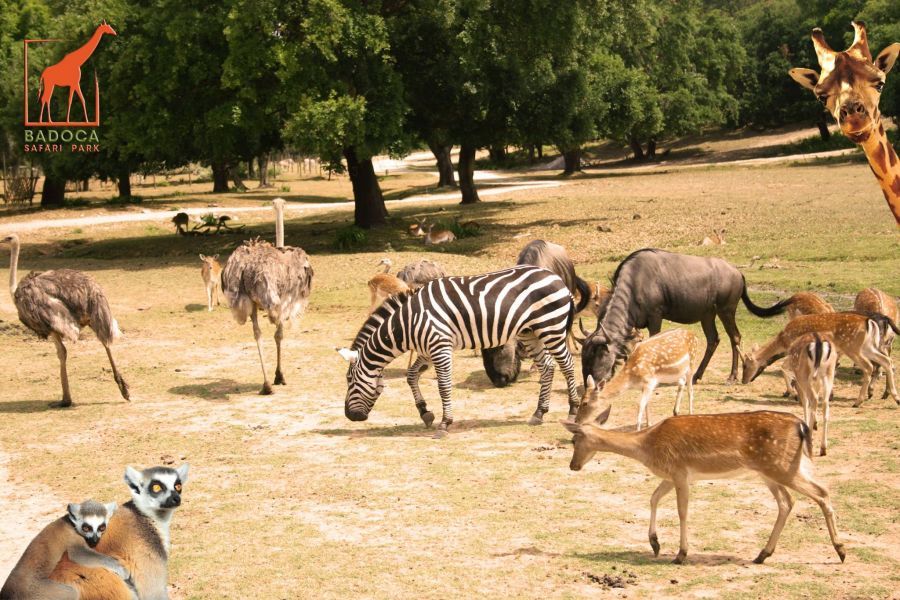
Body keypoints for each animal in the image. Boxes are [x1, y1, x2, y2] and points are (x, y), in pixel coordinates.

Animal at [338, 264, 584, 438]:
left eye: (350, 380)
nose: (349, 416)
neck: (408, 322)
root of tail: (557, 278)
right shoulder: (427, 349)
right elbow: (411, 375)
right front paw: (425, 412)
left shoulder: (440, 347)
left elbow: (444, 386)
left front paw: (444, 424)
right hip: (530, 332)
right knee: (547, 367)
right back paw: (539, 413)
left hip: (551, 326)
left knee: (567, 365)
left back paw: (573, 410)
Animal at [560, 410, 848, 564]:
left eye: (574, 440)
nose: (572, 465)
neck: (647, 446)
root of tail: (801, 425)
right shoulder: (671, 476)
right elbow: (652, 498)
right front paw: (655, 544)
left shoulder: (679, 472)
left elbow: (682, 511)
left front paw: (680, 554)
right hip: (775, 470)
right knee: (788, 502)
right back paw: (762, 554)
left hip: (781, 467)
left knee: (822, 493)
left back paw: (841, 551)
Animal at [576, 328, 704, 432]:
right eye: (580, 400)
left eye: (585, 403)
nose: (577, 420)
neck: (631, 377)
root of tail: (695, 335)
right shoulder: (644, 386)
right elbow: (646, 403)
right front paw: (649, 424)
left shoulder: (649, 381)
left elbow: (640, 405)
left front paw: (638, 430)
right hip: (679, 371)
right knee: (682, 383)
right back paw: (675, 412)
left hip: (692, 363)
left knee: (690, 389)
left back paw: (691, 413)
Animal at [740, 312, 896, 406]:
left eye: (745, 365)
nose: (743, 380)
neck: (783, 341)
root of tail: (870, 322)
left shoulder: (794, 351)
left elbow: (783, 367)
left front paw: (794, 394)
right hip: (867, 347)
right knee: (886, 361)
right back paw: (894, 397)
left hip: (853, 347)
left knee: (869, 366)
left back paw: (858, 401)